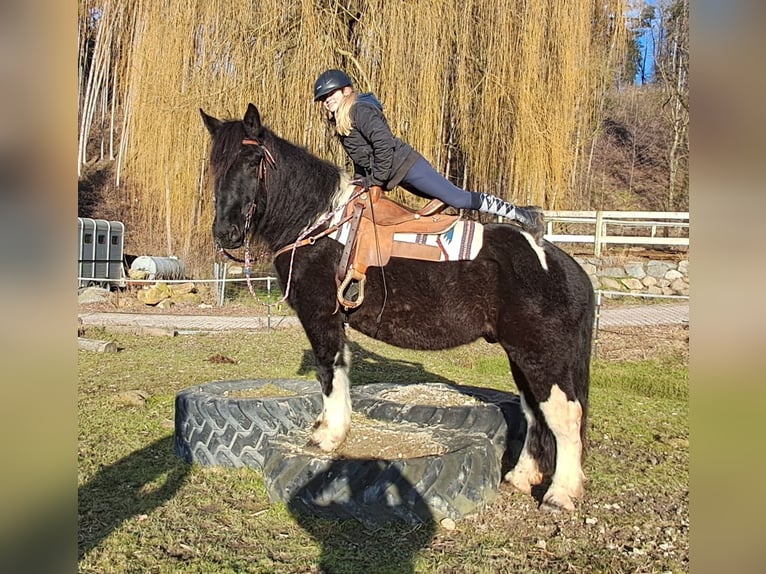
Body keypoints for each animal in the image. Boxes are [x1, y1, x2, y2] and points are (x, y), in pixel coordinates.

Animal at [201, 103, 596, 512]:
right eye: (216, 164)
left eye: (253, 161)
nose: (225, 233)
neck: (318, 225)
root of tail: (566, 266)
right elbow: (341, 368)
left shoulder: (320, 315)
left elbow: (329, 371)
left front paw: (326, 436)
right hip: (521, 356)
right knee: (535, 413)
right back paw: (521, 477)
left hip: (541, 355)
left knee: (565, 416)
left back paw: (560, 493)